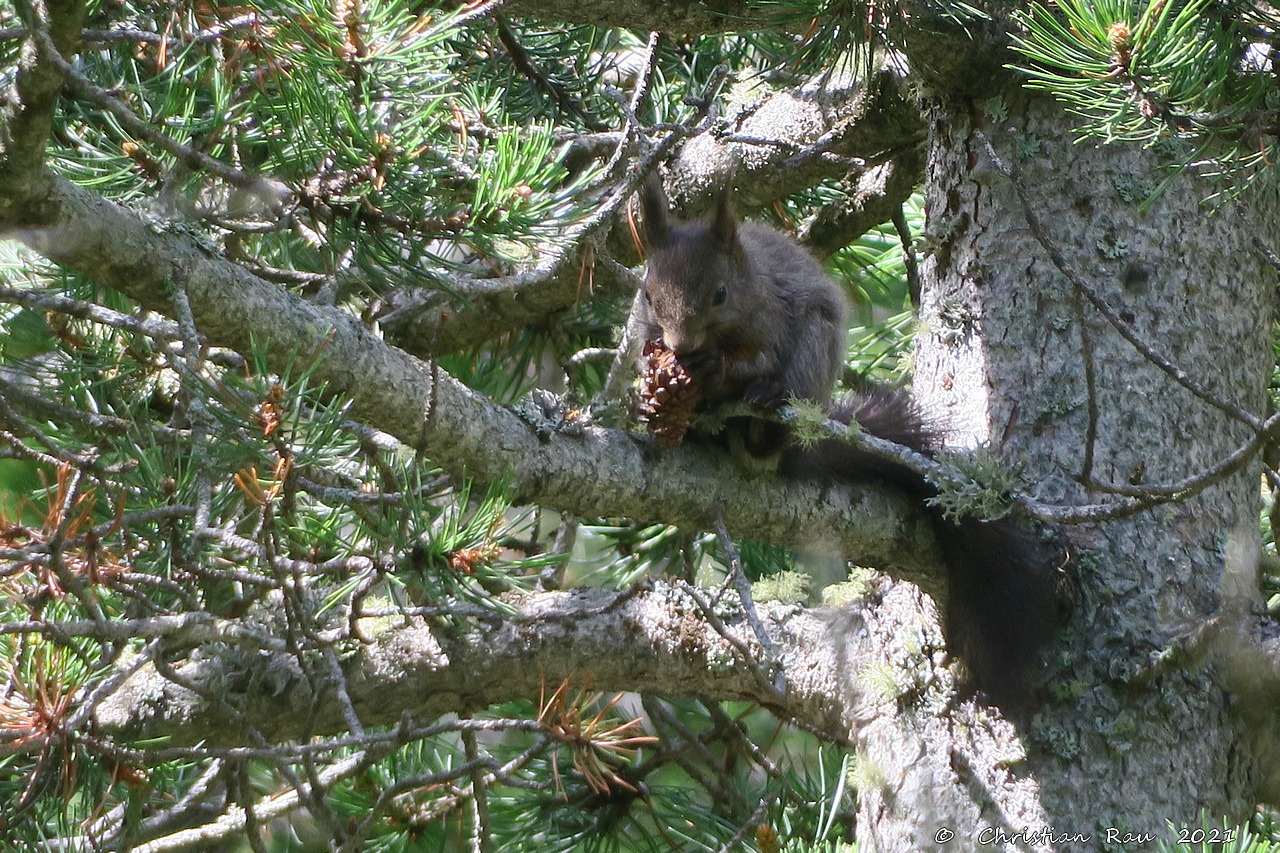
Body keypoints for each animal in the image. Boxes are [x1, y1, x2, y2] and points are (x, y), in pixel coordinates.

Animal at [634, 178, 1064, 701]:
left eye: (720, 293)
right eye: (648, 294)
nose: (680, 346)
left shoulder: (772, 317)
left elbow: (756, 359)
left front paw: (718, 368)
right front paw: (655, 389)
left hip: (814, 350)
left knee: (770, 431)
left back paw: (766, 417)